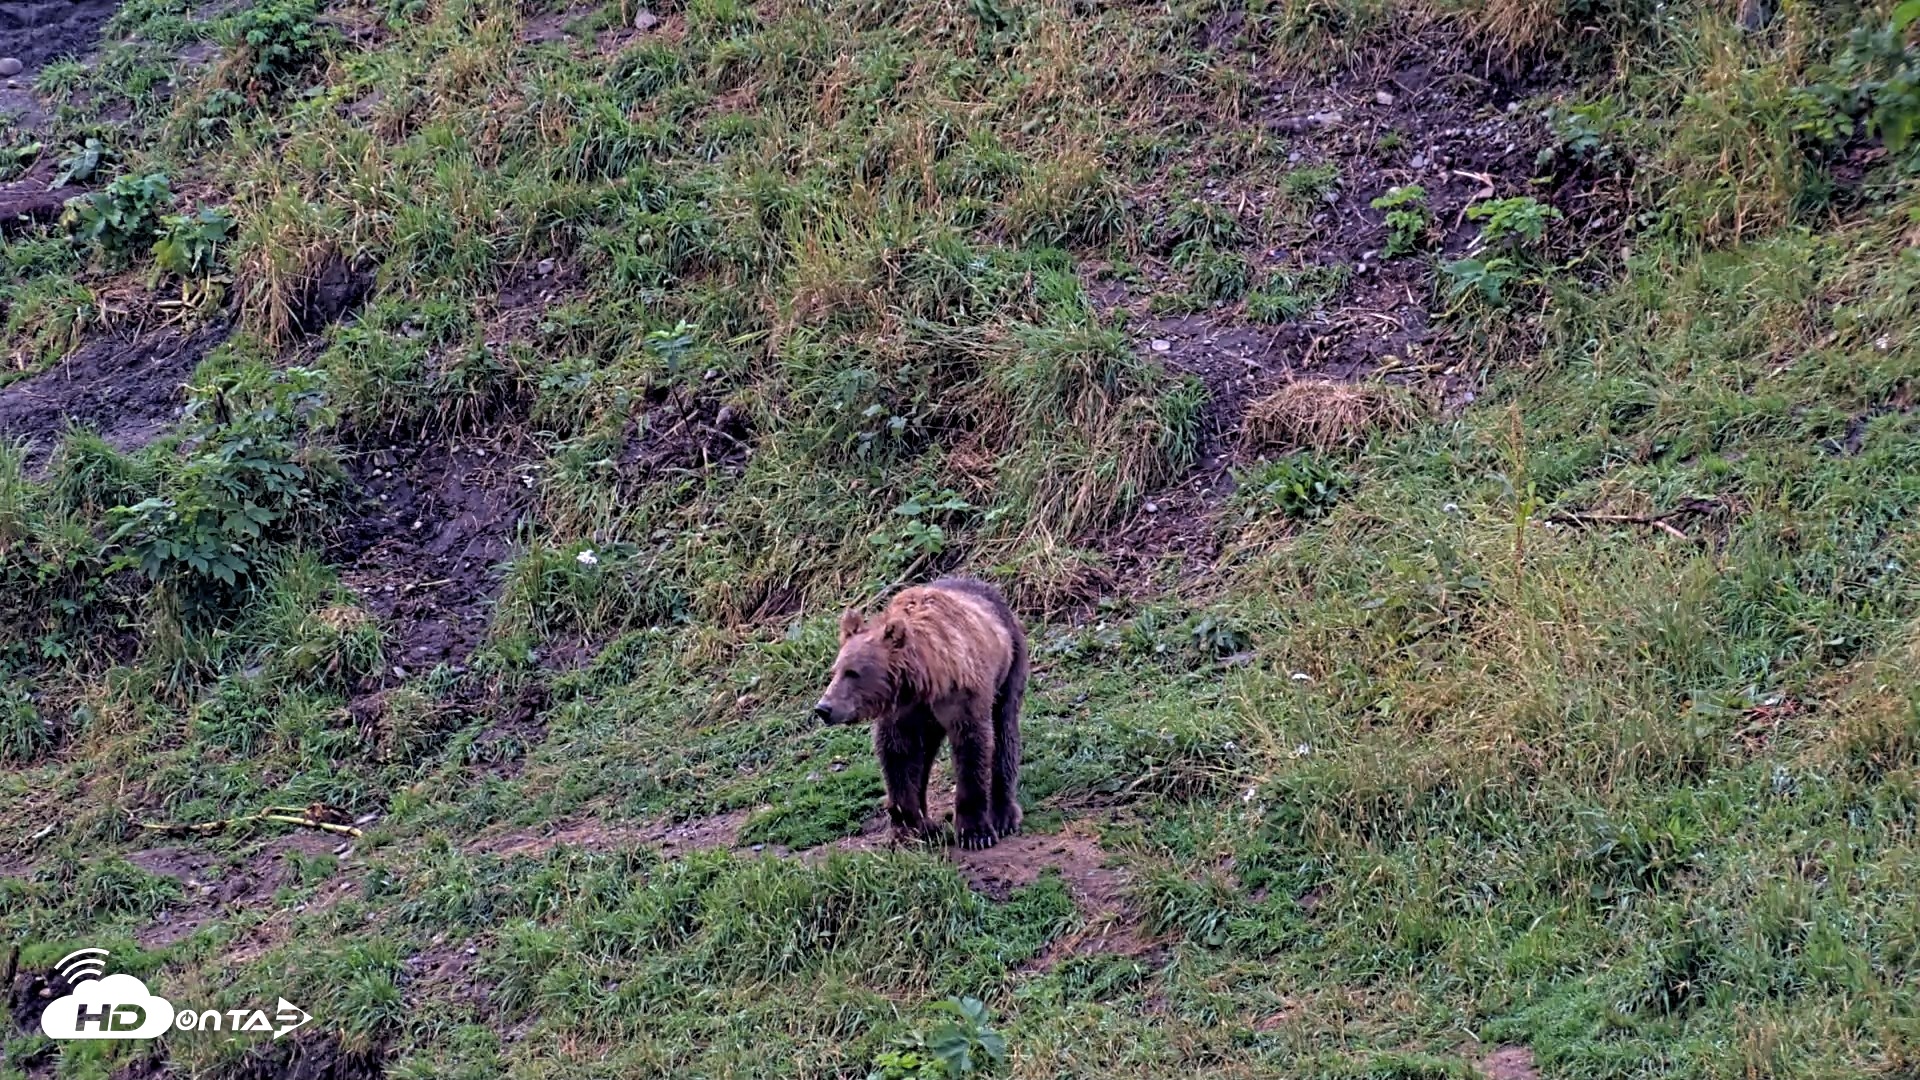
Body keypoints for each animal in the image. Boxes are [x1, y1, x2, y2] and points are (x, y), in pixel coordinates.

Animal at [813, 577, 1028, 850]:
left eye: (853, 673)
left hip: (1010, 664)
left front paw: (975, 833)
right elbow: (899, 756)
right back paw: (928, 823)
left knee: (1004, 728)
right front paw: (907, 828)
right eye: (835, 671)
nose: (824, 708)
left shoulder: (962, 696)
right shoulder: (903, 711)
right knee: (924, 756)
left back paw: (1004, 816)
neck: (921, 681)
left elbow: (972, 746)